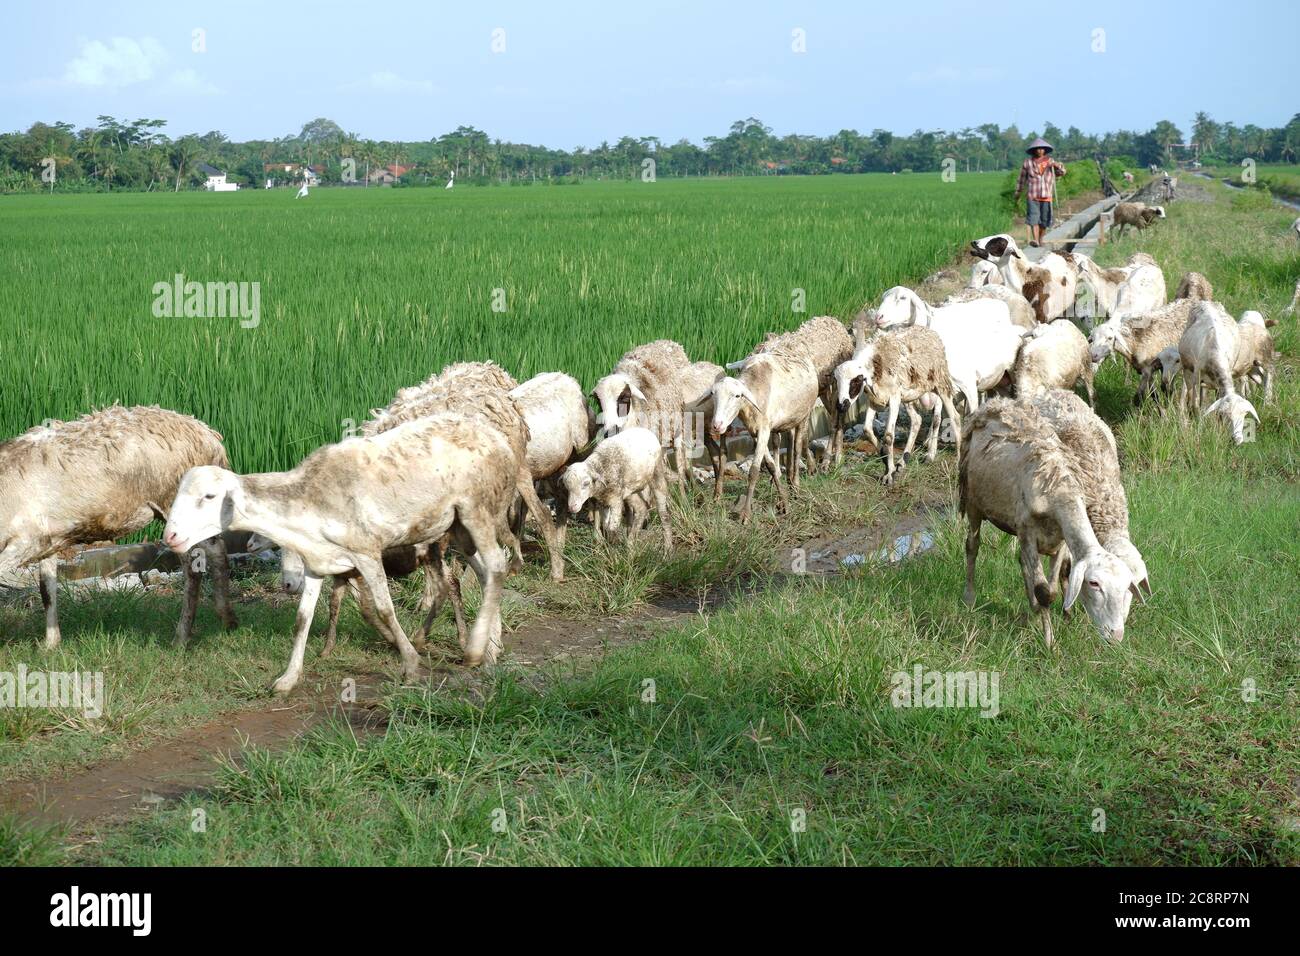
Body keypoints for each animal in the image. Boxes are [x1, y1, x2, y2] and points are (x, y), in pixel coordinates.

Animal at [0, 403, 239, 650]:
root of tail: (209, 437)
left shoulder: (26, 539)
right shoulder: (48, 539)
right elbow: (47, 588)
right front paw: (51, 643)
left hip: (174, 502)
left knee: (193, 569)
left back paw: (181, 638)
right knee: (216, 549)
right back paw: (227, 619)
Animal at [595, 338, 696, 486]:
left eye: (624, 398)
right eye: (598, 401)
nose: (610, 431)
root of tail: (666, 341)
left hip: (679, 418)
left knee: (681, 453)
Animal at [712, 351, 811, 522]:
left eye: (737, 396)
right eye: (713, 394)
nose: (717, 425)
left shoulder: (764, 430)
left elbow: (753, 472)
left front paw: (745, 514)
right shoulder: (756, 432)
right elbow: (770, 466)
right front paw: (783, 501)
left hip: (803, 417)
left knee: (797, 449)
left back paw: (796, 486)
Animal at [837, 325, 961, 486]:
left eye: (855, 381)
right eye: (836, 381)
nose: (841, 406)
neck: (876, 364)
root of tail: (929, 331)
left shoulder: (894, 398)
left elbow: (889, 436)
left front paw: (889, 474)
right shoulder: (874, 400)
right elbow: (867, 430)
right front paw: (885, 460)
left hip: (940, 384)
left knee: (953, 418)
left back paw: (954, 461)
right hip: (910, 397)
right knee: (917, 420)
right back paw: (903, 461)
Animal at [956, 395, 1138, 650]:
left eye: (1126, 587)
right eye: (1094, 584)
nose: (1116, 636)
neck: (1058, 492)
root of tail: (995, 403)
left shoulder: (1060, 541)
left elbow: (1051, 587)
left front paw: (1047, 617)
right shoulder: (1028, 534)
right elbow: (1044, 591)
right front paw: (1049, 643)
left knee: (1020, 562)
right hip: (973, 501)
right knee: (972, 546)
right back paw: (969, 597)